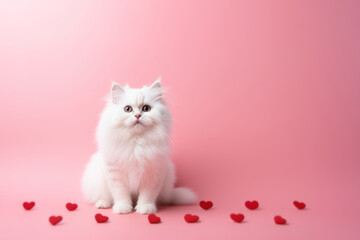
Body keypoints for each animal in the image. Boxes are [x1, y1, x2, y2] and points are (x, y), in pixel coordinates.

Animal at [81, 78, 197, 214]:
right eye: (127, 109)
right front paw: (123, 208)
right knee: (103, 197)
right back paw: (103, 204)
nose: (137, 116)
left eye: (146, 108)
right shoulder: (116, 174)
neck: (136, 143)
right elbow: (120, 194)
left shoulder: (153, 173)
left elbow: (147, 195)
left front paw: (145, 209)